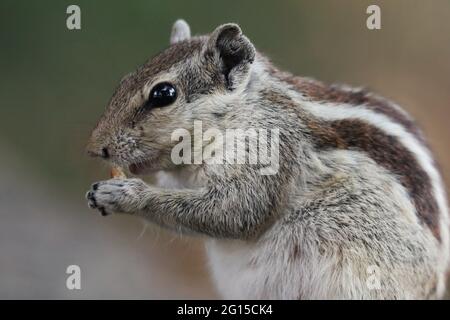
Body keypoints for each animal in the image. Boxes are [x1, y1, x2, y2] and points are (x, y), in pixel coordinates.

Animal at [86, 20, 448, 300]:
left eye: (163, 94)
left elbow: (236, 210)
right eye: (124, 81)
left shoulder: (268, 151)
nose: (95, 148)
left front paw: (125, 195)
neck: (243, 112)